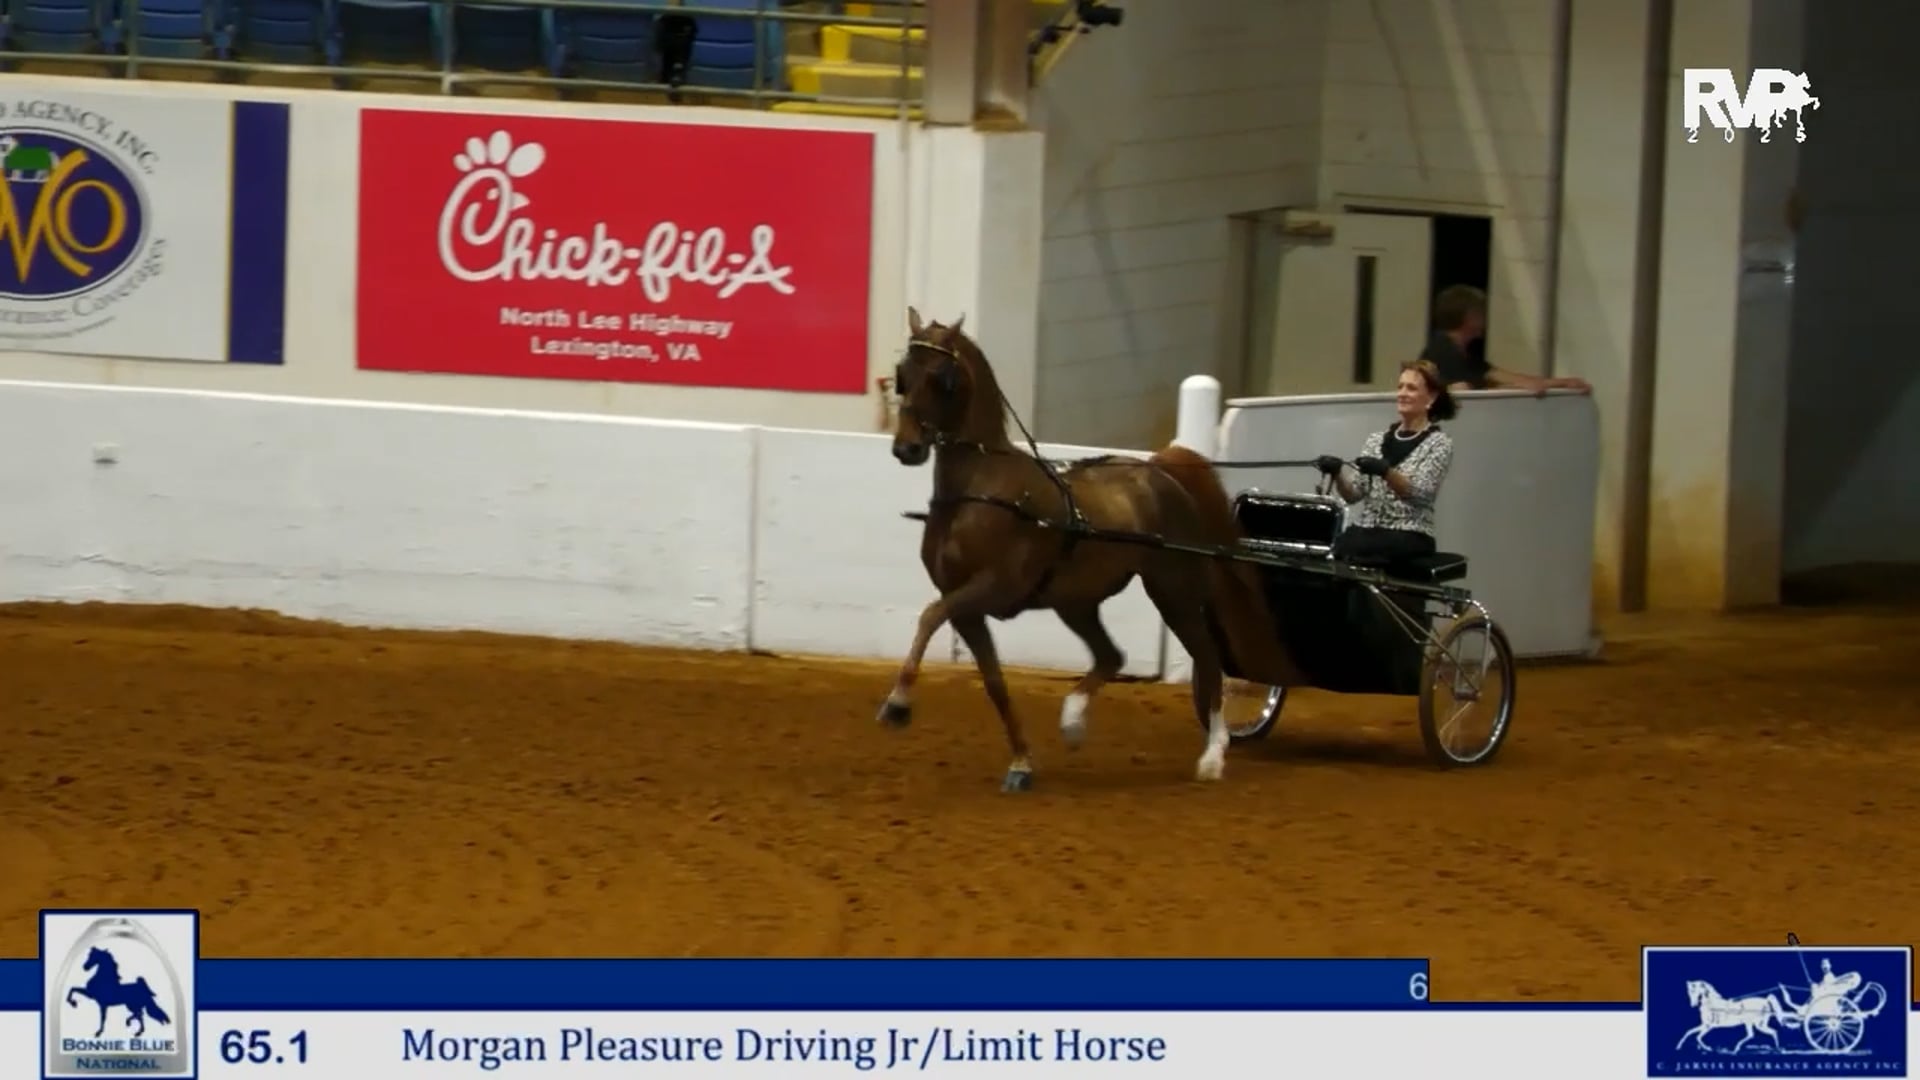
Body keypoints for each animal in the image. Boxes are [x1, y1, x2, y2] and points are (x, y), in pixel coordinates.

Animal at [876, 307, 1303, 791]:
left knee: (1208, 660)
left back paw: (1213, 755)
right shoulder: (967, 607)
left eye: (942, 378)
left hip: (1172, 590)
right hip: (1076, 601)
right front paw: (1022, 763)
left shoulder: (992, 588)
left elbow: (929, 617)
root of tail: (1160, 471)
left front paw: (897, 705)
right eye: (903, 374)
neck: (980, 489)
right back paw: (1074, 721)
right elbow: (993, 681)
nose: (907, 448)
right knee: (1111, 655)